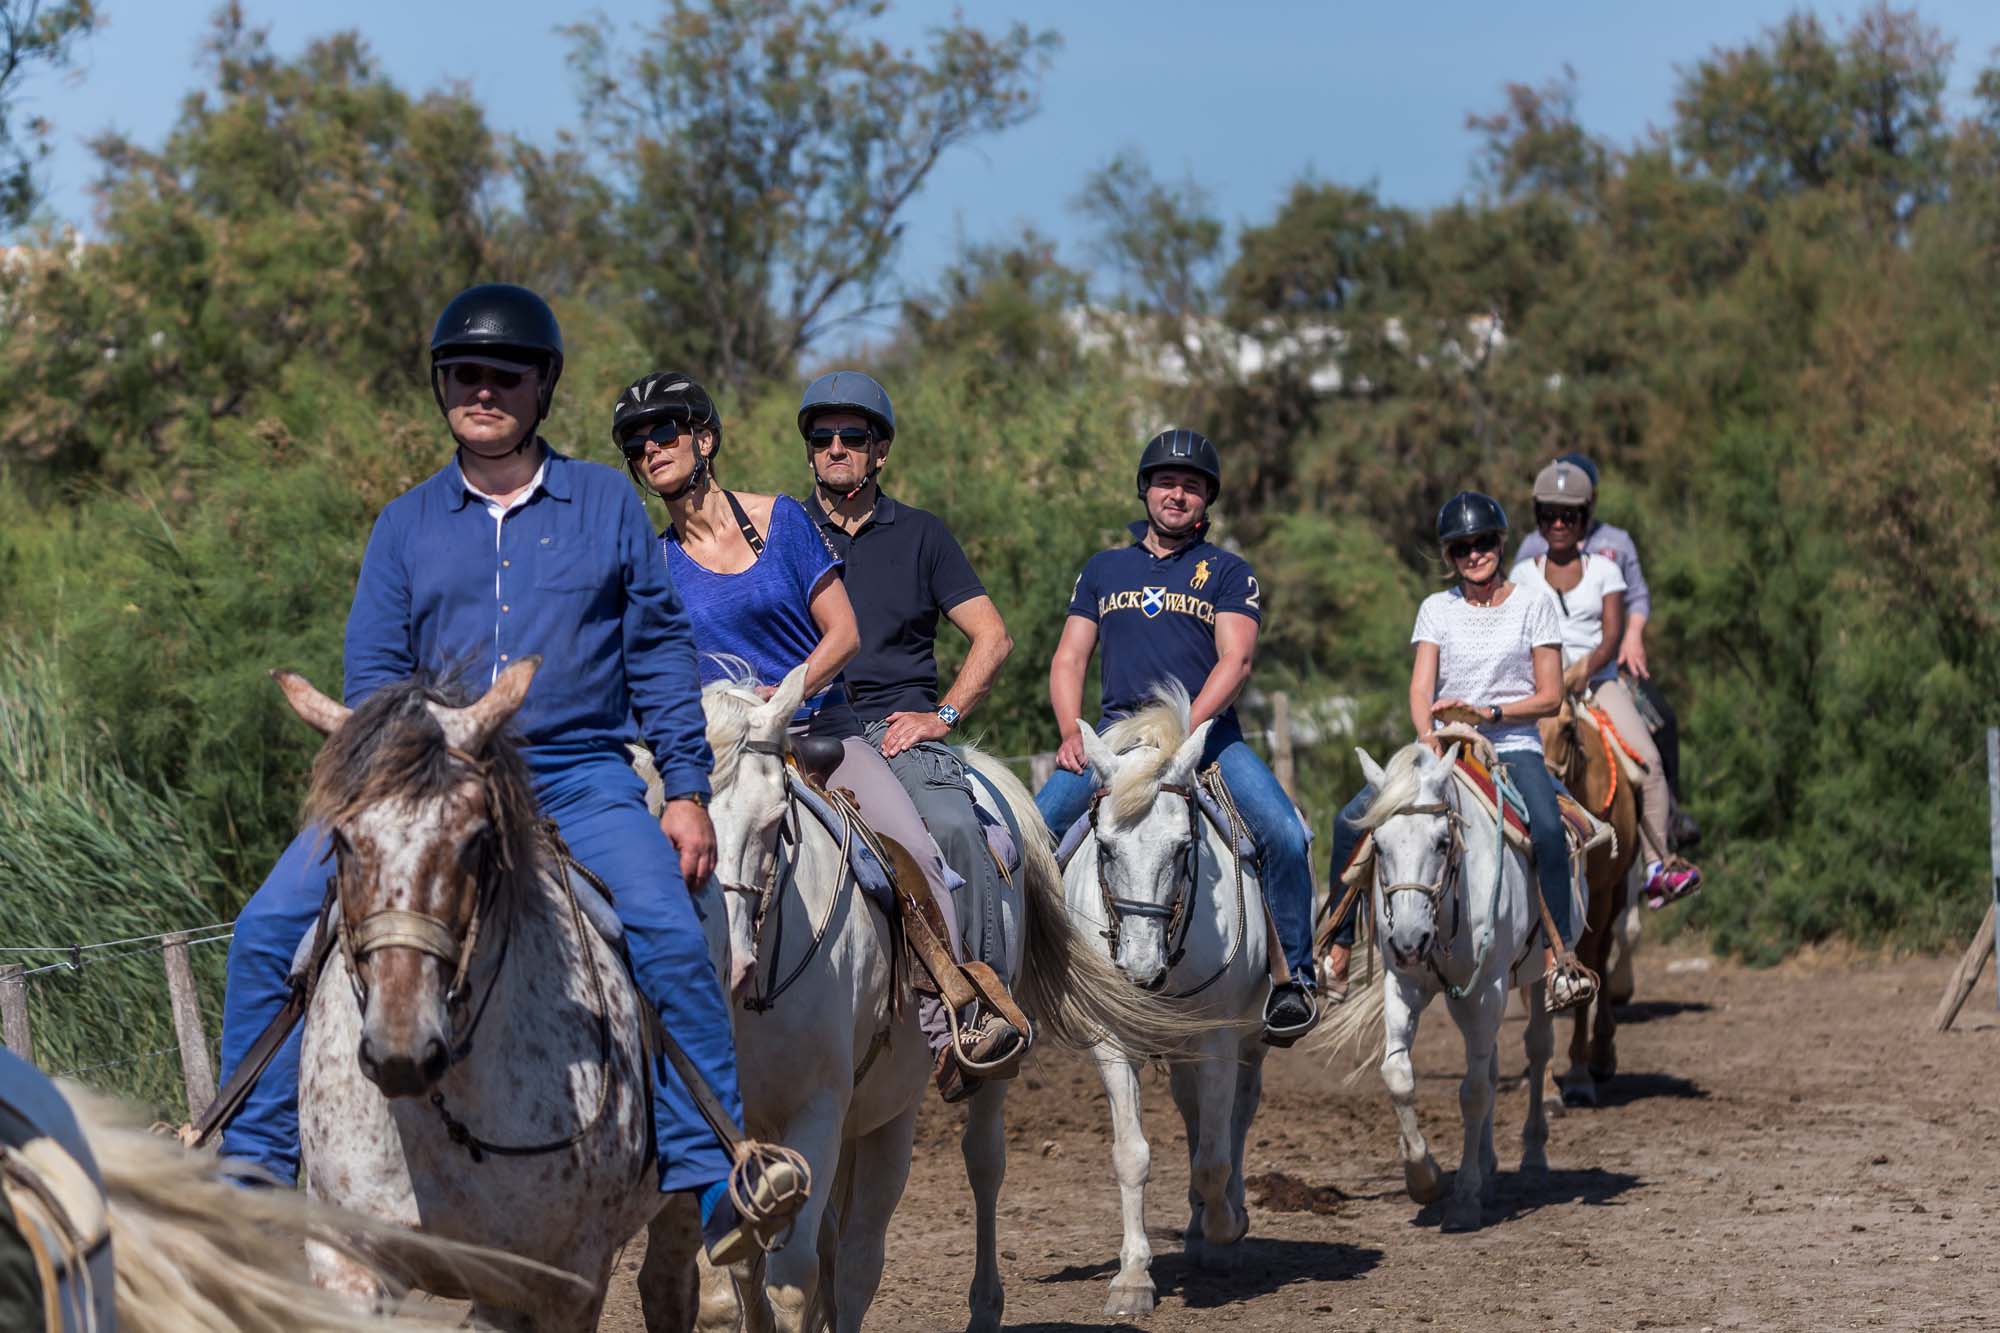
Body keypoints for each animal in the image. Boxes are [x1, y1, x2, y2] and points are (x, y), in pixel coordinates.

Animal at [648, 664, 1200, 1328]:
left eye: (775, 818)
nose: (725, 957)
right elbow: (732, 1284)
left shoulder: (818, 1111)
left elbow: (795, 1281)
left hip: (946, 1088)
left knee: (958, 1181)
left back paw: (984, 1303)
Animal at [1064, 688, 1264, 1312]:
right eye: (1105, 848)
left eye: (1182, 849)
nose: (1141, 967)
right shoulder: (1111, 1041)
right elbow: (1133, 1155)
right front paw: (1133, 1277)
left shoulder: (1219, 1037)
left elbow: (1214, 1158)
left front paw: (1226, 1228)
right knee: (1195, 1114)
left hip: (1247, 1038)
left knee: (1236, 1116)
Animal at [1328, 736, 1560, 1224]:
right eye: (1378, 844)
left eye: (1441, 842)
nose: (1409, 939)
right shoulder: (1404, 985)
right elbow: (1399, 1075)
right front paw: (1424, 1177)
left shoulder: (1487, 990)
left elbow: (1472, 1091)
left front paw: (1466, 1195)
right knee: (1490, 1063)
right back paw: (1488, 1162)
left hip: (1526, 983)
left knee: (1536, 1048)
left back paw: (1532, 1155)